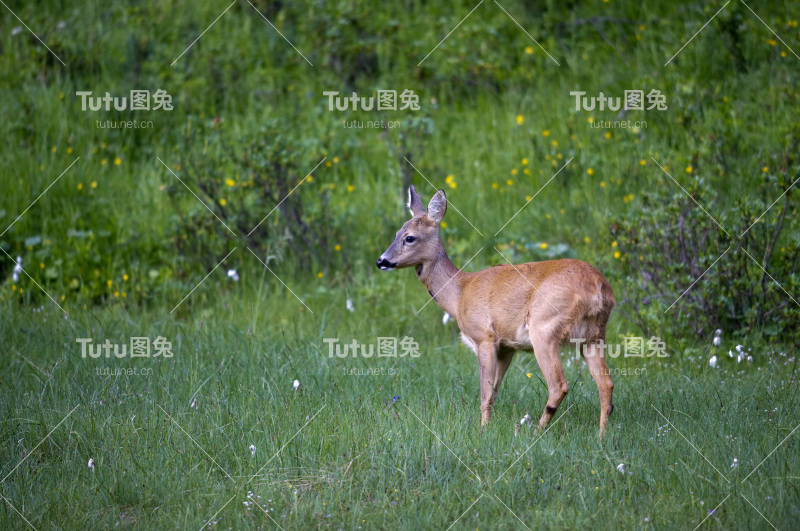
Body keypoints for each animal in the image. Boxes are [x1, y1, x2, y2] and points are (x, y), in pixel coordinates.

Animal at [376, 186, 620, 436]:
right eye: (396, 233)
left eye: (410, 237)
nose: (381, 261)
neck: (459, 294)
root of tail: (599, 289)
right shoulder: (506, 347)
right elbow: (494, 392)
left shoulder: (484, 336)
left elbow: (485, 393)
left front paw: (482, 431)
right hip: (593, 335)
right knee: (606, 383)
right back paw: (601, 435)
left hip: (545, 327)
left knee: (558, 385)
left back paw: (535, 431)